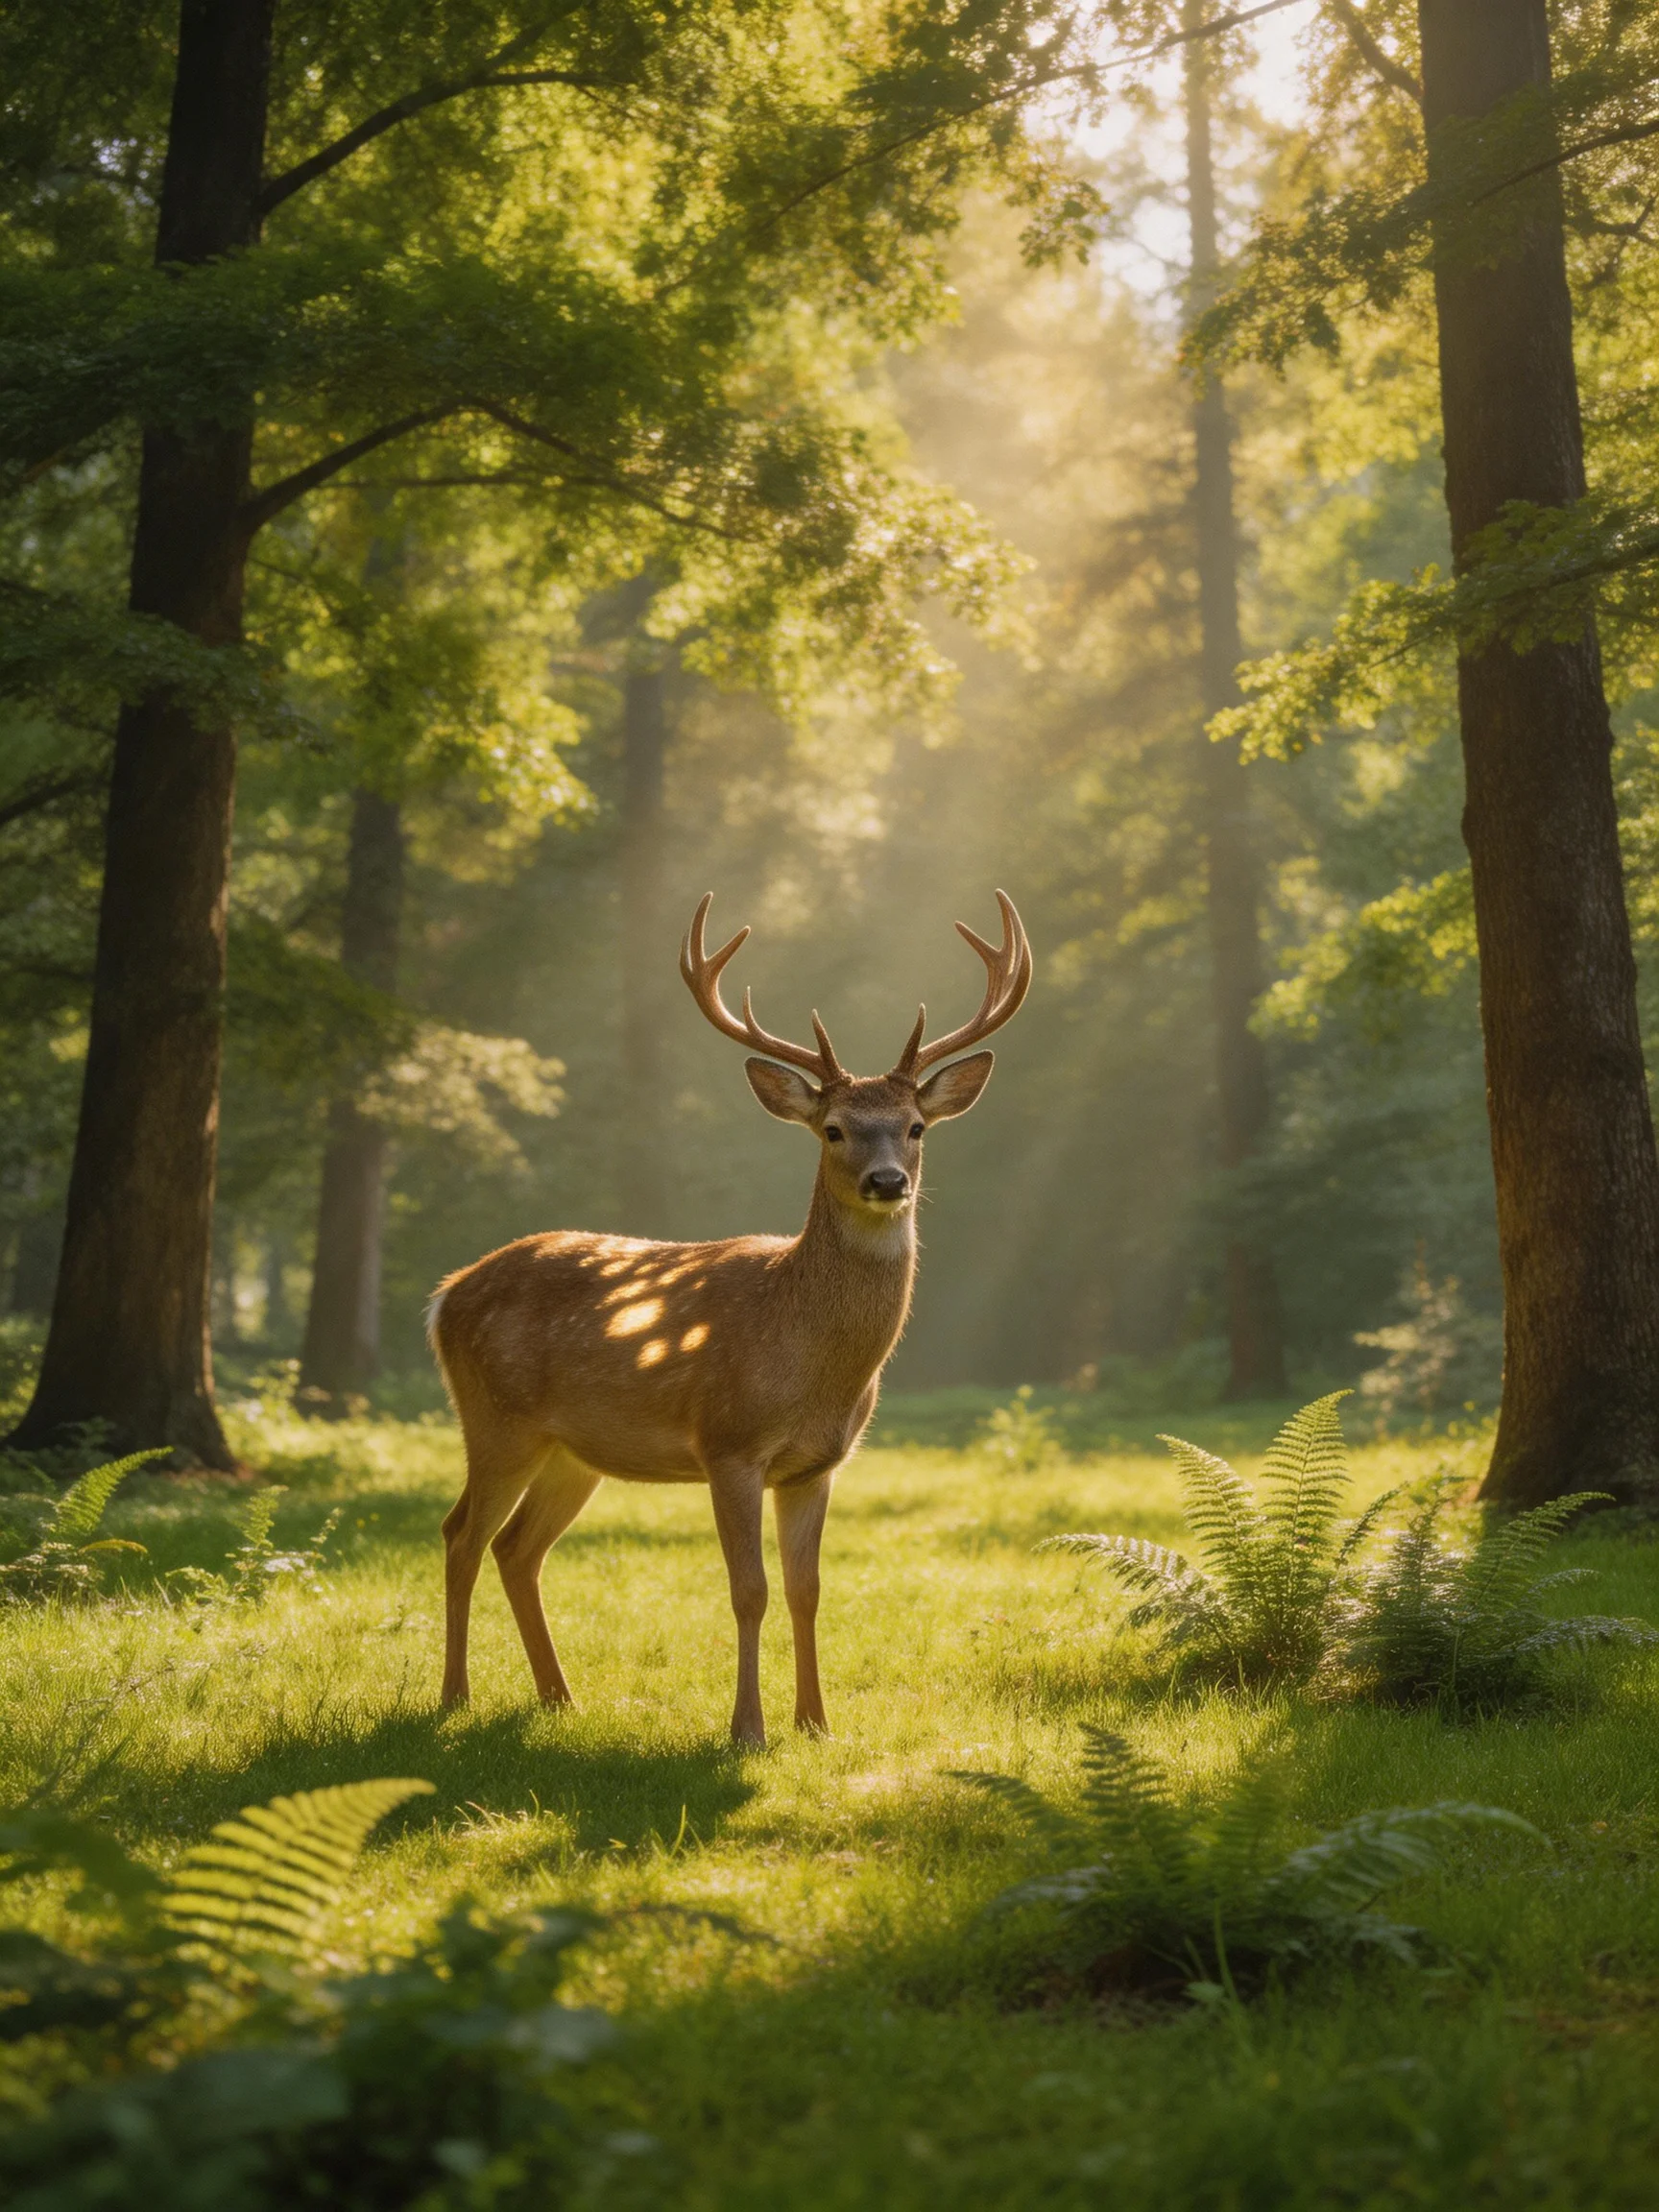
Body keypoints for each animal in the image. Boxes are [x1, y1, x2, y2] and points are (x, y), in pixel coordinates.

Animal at [427, 890, 1030, 1745]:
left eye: (915, 1128)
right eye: (833, 1129)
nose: (887, 1182)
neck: (810, 1361)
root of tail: (445, 1294)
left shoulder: (816, 1465)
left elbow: (809, 1590)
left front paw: (816, 1722)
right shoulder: (728, 1443)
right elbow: (751, 1590)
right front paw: (747, 1729)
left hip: (571, 1450)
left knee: (517, 1548)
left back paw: (559, 1698)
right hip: (495, 1420)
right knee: (462, 1534)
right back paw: (455, 1695)